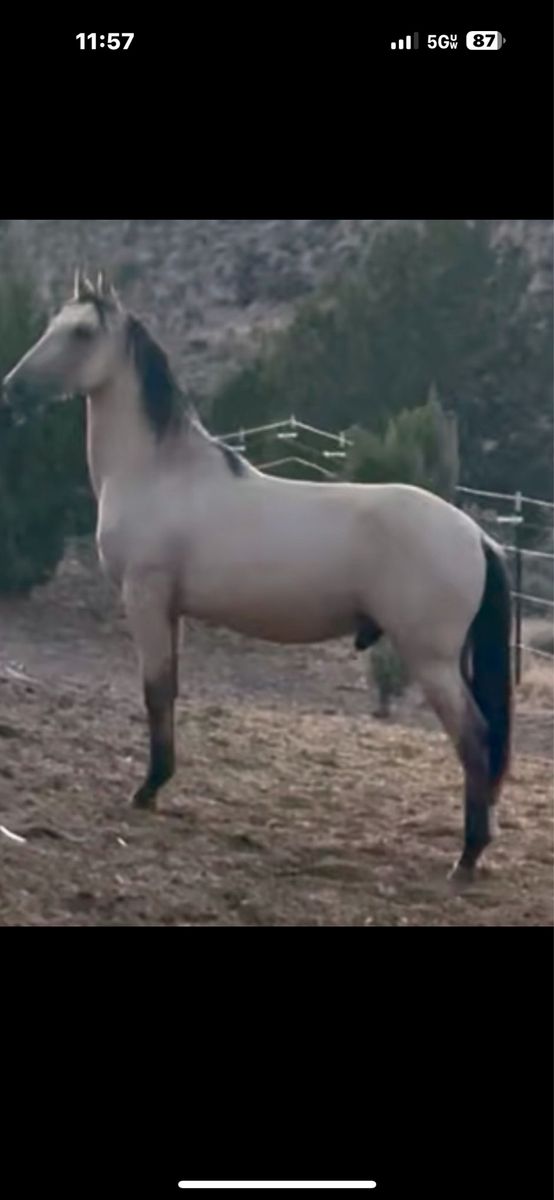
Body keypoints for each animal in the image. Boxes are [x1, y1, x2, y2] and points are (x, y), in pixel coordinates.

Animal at [3, 270, 513, 880]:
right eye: (51, 323)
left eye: (81, 333)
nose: (13, 389)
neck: (161, 473)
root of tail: (476, 536)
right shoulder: (171, 609)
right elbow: (169, 690)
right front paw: (158, 783)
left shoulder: (144, 598)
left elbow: (155, 691)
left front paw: (146, 791)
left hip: (431, 660)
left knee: (475, 740)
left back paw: (467, 858)